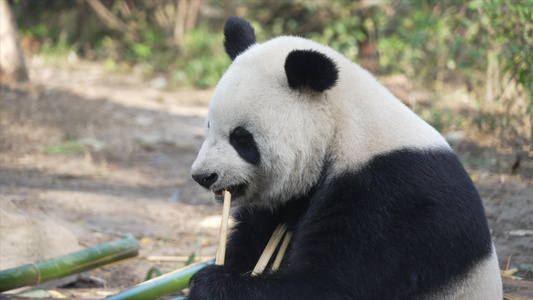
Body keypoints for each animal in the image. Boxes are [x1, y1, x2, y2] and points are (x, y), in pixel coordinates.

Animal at [188, 17, 502, 298]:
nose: (203, 176)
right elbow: (252, 244)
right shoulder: (285, 203)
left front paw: (210, 283)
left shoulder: (388, 196)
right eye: (209, 126)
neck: (341, 127)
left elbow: (330, 283)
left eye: (241, 138)